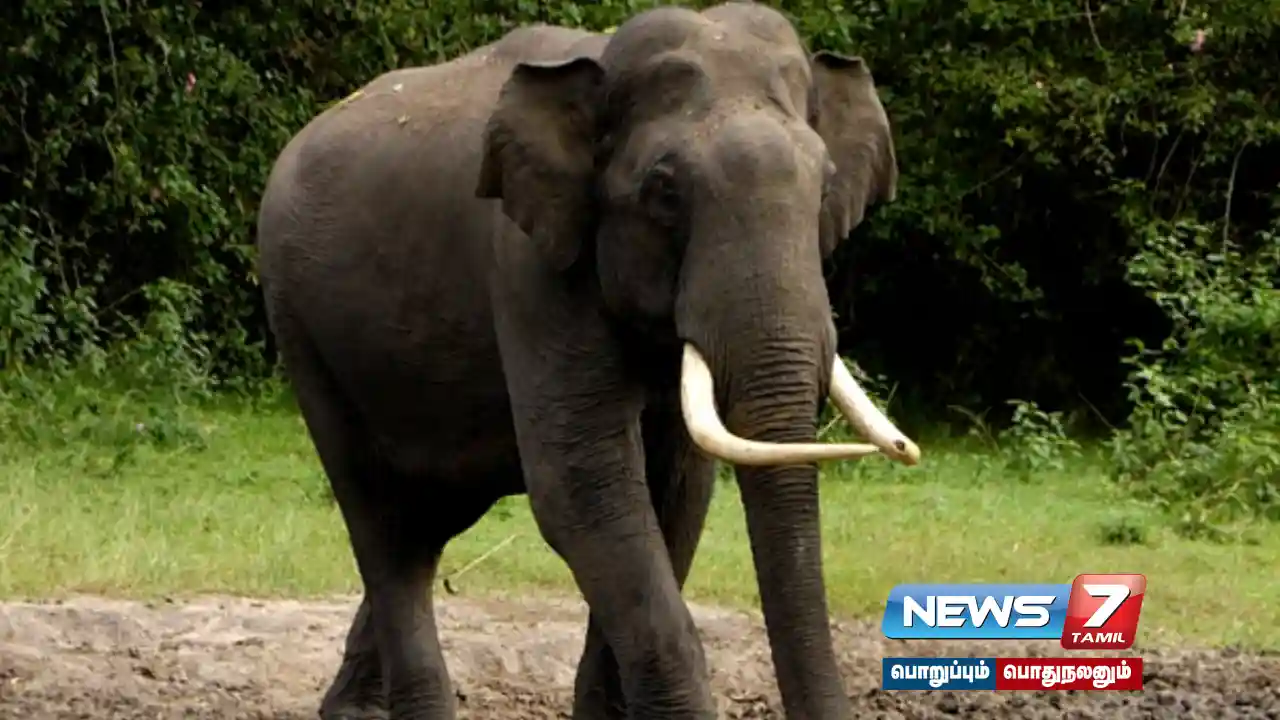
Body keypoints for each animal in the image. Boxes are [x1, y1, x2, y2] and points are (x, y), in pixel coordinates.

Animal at [255, 2, 920, 718]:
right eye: (664, 192)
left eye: (825, 188)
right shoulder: (531, 268)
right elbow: (583, 490)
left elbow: (676, 497)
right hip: (302, 326)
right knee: (386, 524)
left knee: (432, 516)